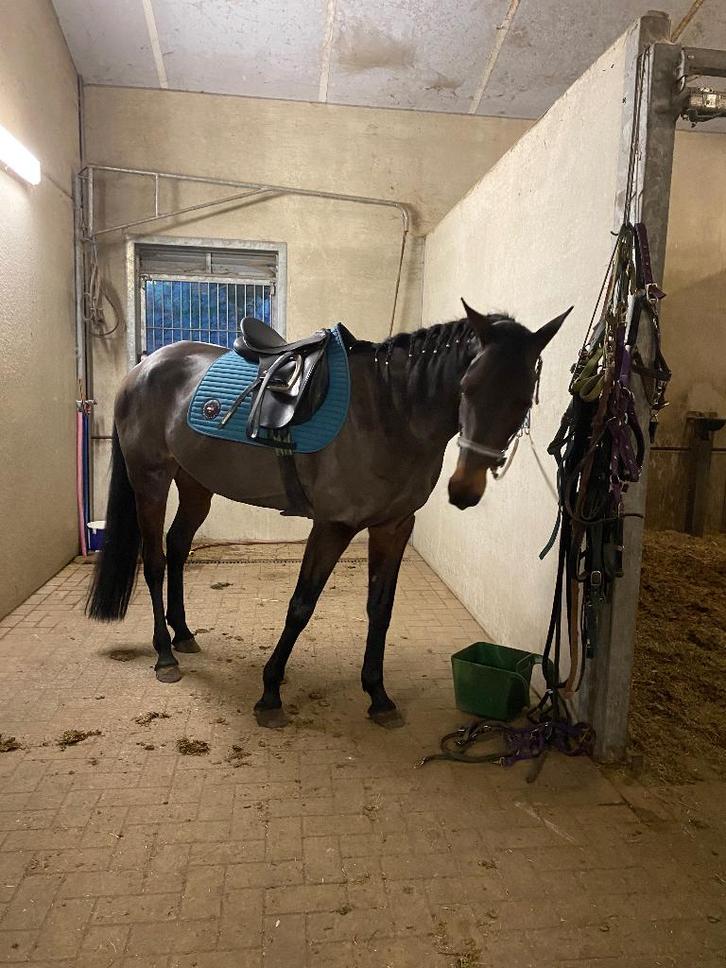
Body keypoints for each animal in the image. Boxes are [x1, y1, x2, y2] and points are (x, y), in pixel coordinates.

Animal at [86, 300, 569, 728]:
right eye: (467, 386)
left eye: (524, 399)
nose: (465, 489)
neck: (391, 412)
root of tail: (144, 367)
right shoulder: (333, 527)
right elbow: (301, 606)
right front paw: (270, 692)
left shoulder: (394, 527)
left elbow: (380, 608)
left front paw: (378, 695)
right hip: (150, 481)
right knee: (154, 562)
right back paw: (165, 654)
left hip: (195, 485)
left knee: (178, 548)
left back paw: (184, 633)